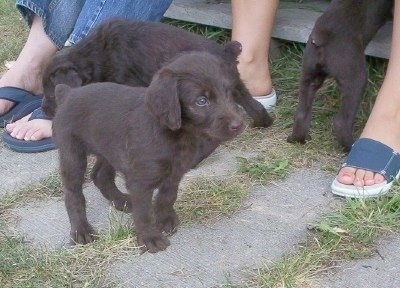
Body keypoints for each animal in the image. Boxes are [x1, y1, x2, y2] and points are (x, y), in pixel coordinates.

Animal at [53, 51, 244, 252]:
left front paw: (165, 219)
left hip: (109, 149)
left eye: (229, 93)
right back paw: (81, 230)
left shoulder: (174, 173)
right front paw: (150, 237)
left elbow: (167, 197)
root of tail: (68, 93)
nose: (239, 124)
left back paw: (121, 201)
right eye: (201, 101)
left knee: (100, 175)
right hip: (72, 154)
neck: (174, 134)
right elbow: (144, 212)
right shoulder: (140, 181)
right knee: (73, 193)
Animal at [288, 0, 394, 152]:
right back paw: (350, 146)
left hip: (308, 74)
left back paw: (297, 139)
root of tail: (322, 36)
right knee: (341, 122)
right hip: (355, 77)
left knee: (301, 114)